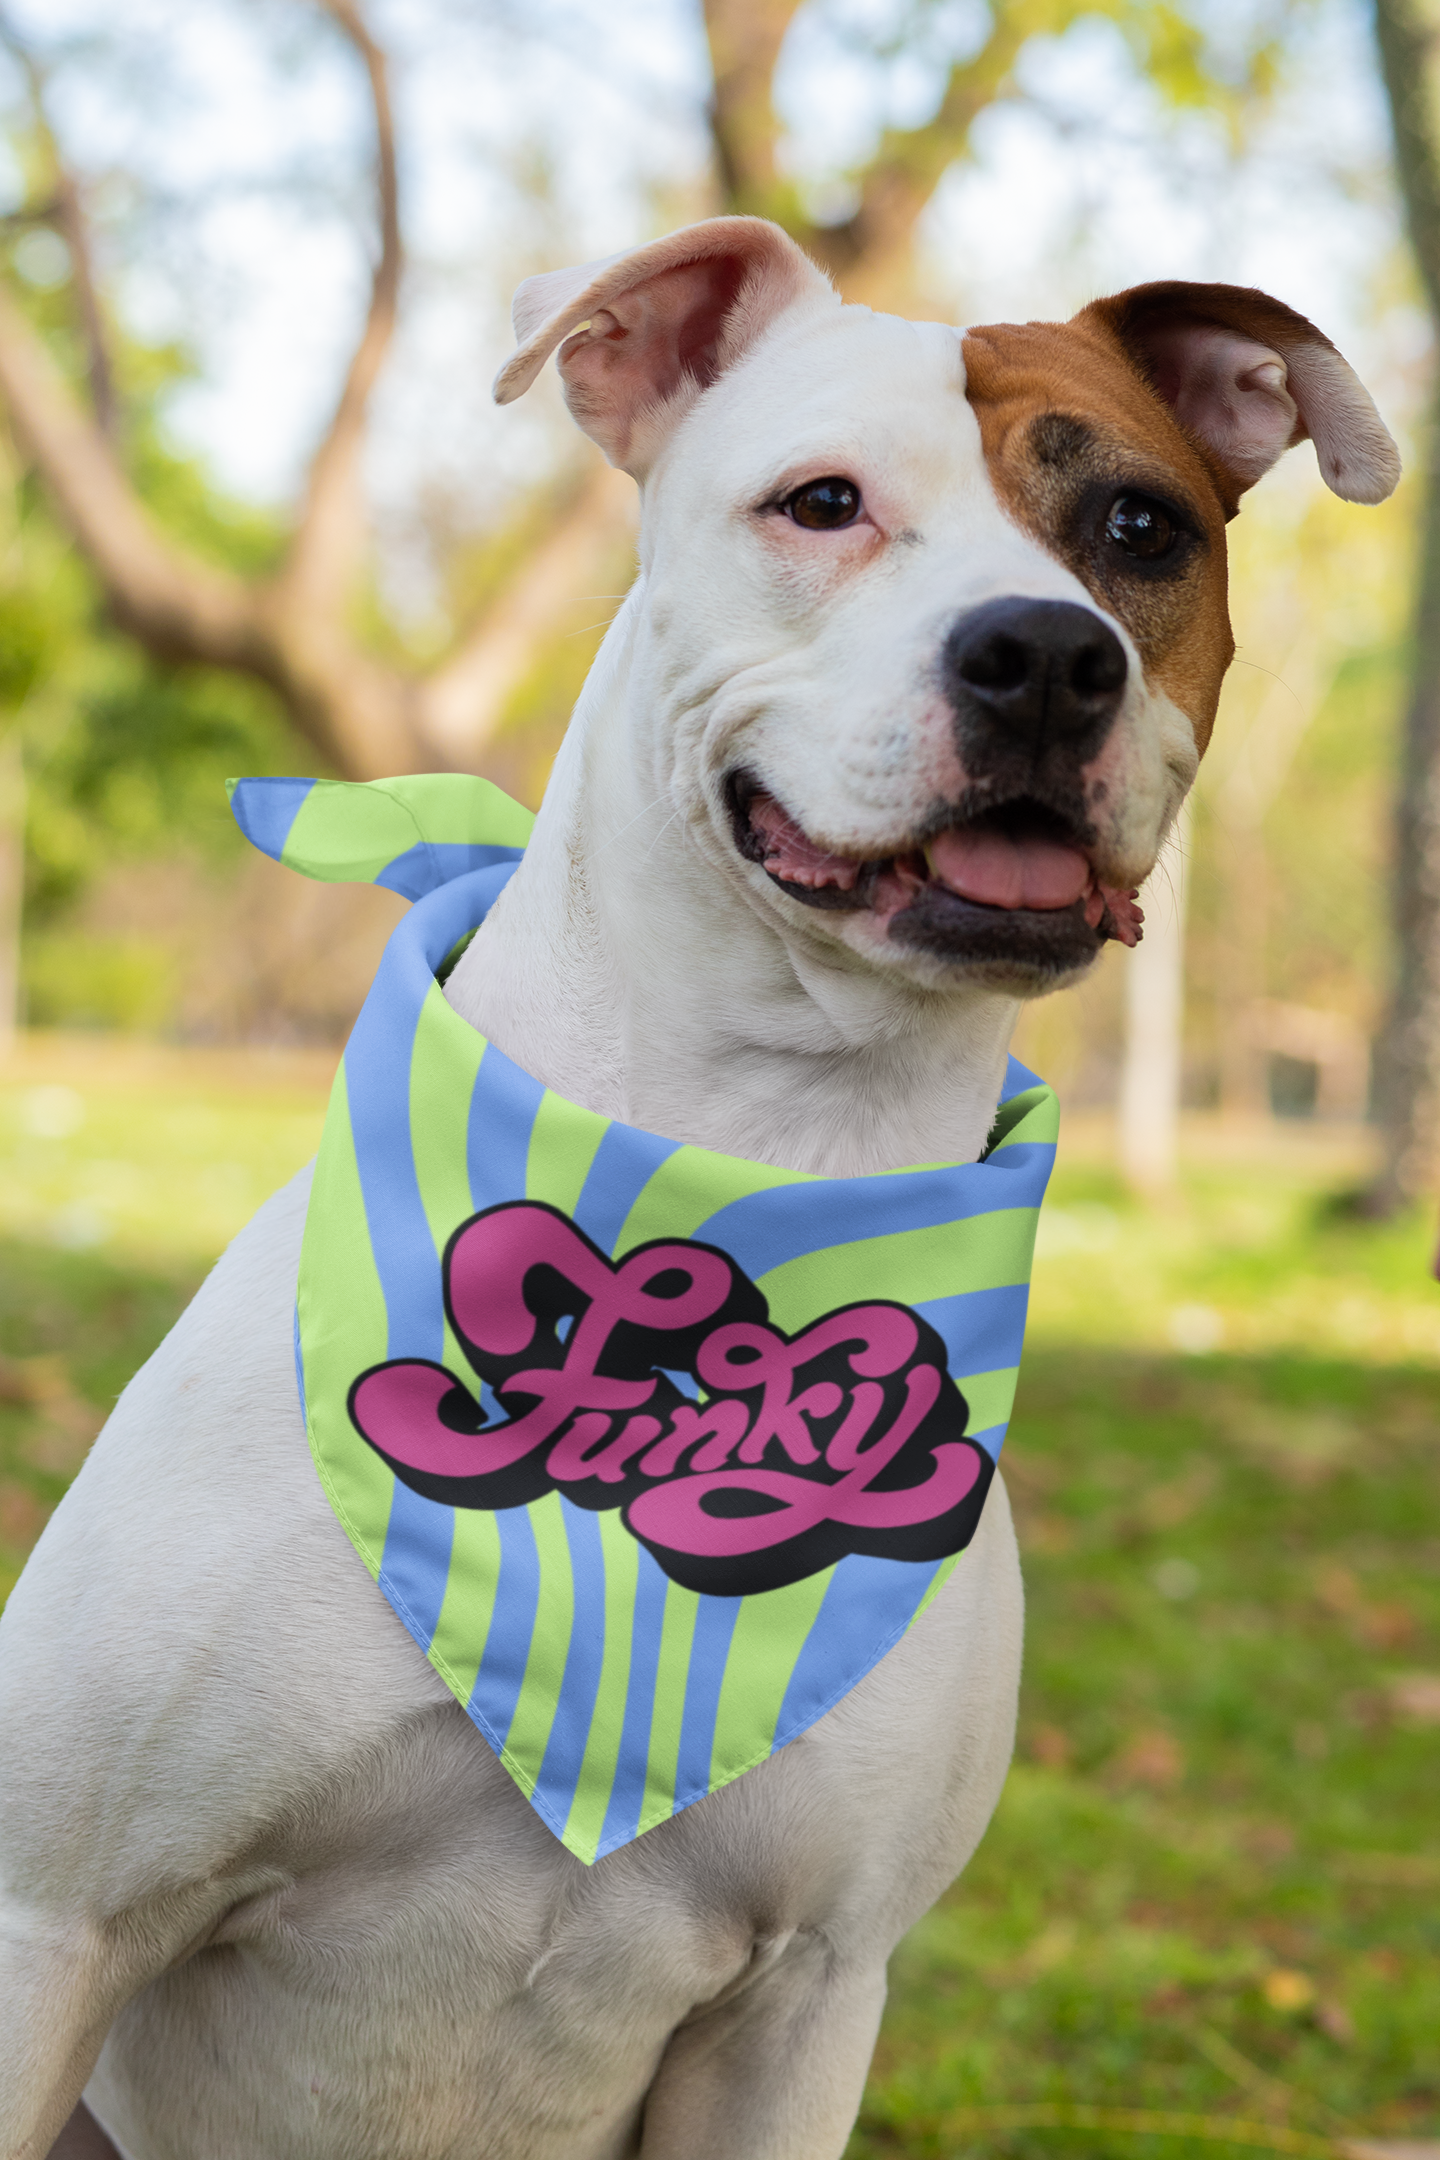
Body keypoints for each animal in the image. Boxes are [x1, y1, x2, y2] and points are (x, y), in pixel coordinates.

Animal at [0, 214, 1398, 2160]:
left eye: (1139, 527)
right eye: (821, 503)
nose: (1048, 654)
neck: (757, 1150)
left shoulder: (807, 1994)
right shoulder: (59, 1918)